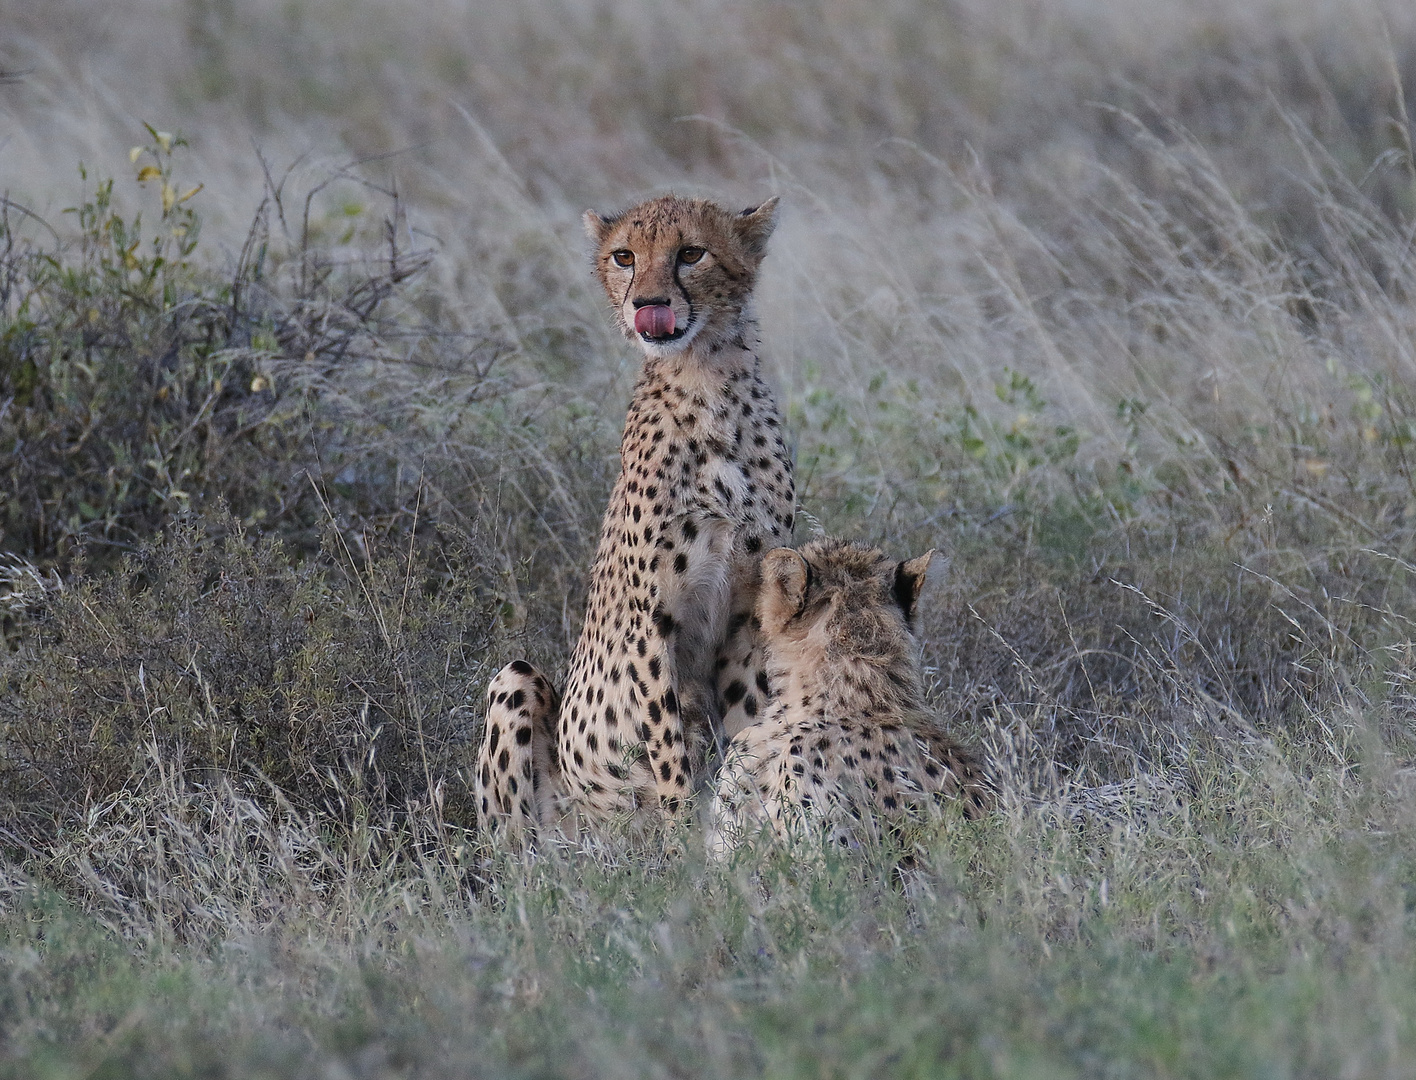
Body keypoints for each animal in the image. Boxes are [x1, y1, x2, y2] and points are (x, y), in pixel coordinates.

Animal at [478, 196, 798, 843]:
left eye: (692, 252)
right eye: (625, 256)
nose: (647, 304)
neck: (704, 381)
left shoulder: (752, 615)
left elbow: (747, 730)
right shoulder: (650, 622)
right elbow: (669, 747)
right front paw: (683, 846)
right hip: (515, 688)